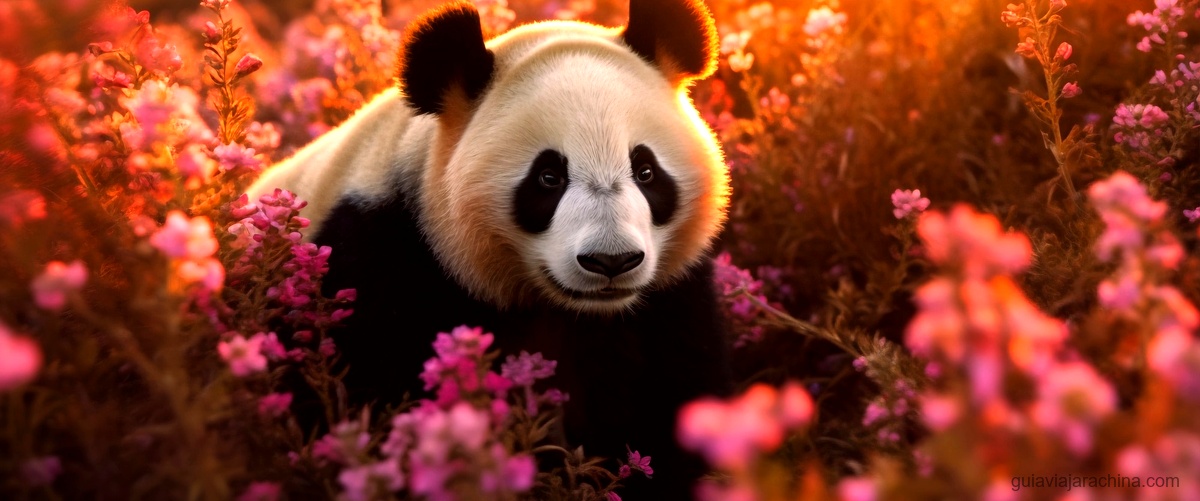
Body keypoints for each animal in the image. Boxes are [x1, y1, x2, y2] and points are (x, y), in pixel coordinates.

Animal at [247, 0, 732, 497]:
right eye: (548, 178)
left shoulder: (667, 299)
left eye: (646, 171)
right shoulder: (377, 260)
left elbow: (664, 393)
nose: (610, 260)